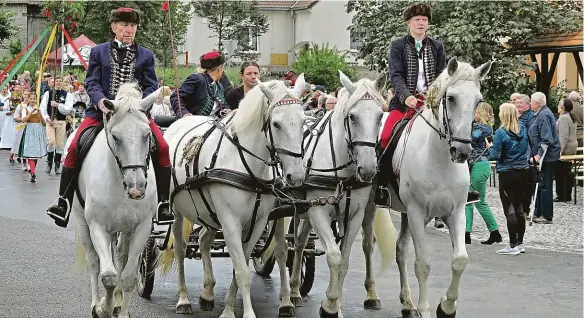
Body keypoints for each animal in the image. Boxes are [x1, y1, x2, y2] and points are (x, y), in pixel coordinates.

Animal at [74, 83, 163, 318]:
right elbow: (108, 276)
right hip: (82, 221)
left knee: (122, 259)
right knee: (94, 262)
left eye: (147, 134)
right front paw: (102, 308)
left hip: (124, 229)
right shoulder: (97, 226)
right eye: (115, 137)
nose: (136, 188)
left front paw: (120, 310)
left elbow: (128, 277)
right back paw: (97, 302)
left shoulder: (142, 227)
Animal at [157, 77, 308, 318]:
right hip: (178, 211)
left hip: (209, 212)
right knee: (180, 248)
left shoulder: (257, 223)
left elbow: (242, 265)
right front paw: (243, 313)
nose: (296, 175)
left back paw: (207, 294)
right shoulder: (230, 222)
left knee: (204, 240)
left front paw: (228, 308)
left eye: (303, 122)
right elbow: (242, 271)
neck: (246, 164)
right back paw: (183, 299)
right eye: (276, 124)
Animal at [372, 57, 490, 318]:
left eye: (478, 100)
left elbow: (460, 260)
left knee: (400, 249)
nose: (462, 151)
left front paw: (446, 306)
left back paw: (407, 303)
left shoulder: (455, 212)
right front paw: (426, 309)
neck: (439, 159)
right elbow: (423, 264)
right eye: (451, 98)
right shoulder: (417, 213)